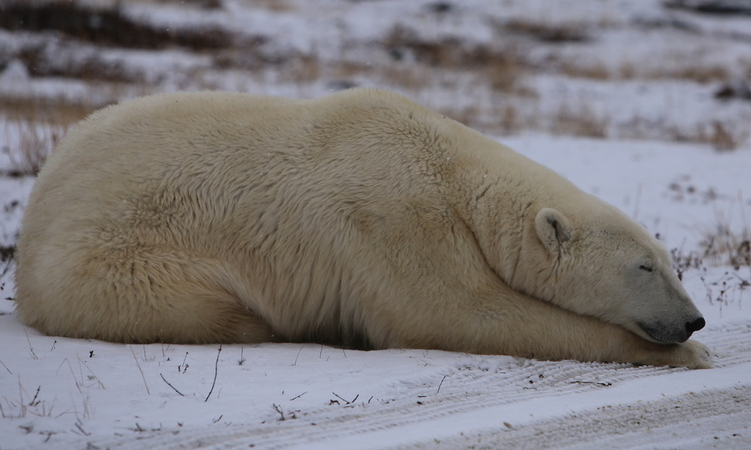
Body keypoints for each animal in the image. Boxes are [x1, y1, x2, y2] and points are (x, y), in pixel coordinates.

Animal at [16, 89, 712, 370]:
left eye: (673, 262)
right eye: (644, 266)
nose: (693, 320)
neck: (452, 171)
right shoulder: (394, 219)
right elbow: (462, 313)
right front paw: (689, 356)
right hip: (119, 260)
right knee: (210, 306)